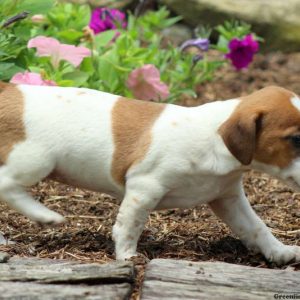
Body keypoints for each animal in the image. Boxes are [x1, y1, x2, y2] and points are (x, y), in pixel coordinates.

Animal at [0, 81, 300, 262]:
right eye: (296, 139)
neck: (212, 140)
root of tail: (9, 89)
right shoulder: (144, 188)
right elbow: (129, 227)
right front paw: (127, 258)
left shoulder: (228, 199)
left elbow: (256, 227)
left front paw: (279, 251)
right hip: (36, 160)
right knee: (6, 185)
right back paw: (45, 215)